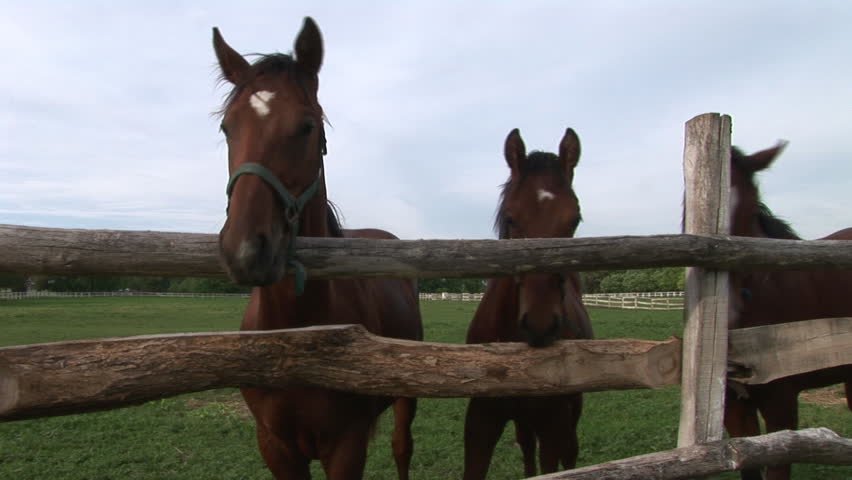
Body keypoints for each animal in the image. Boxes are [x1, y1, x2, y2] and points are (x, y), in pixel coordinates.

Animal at [213, 18, 423, 480]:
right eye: (227, 128)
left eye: (308, 127)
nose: (246, 250)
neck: (295, 337)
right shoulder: (275, 447)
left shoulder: (346, 446)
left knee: (402, 447)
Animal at [463, 128, 593, 479]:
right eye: (510, 218)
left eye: (575, 219)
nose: (540, 324)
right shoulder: (481, 420)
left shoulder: (552, 422)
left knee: (570, 452)